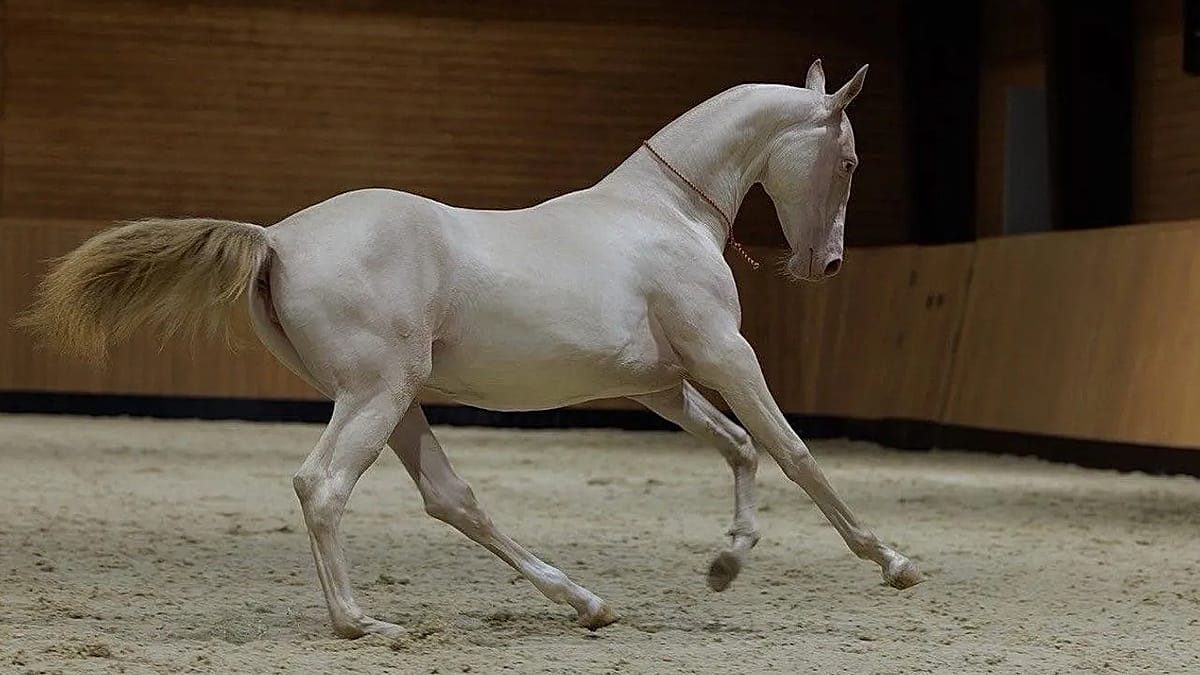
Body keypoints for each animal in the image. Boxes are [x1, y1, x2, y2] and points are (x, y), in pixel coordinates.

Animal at [19, 59, 922, 639]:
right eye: (848, 158)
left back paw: (583, 602)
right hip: (377, 394)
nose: (825, 264)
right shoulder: (724, 355)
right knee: (323, 485)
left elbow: (738, 447)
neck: (665, 214)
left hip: (397, 402)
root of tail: (277, 237)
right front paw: (892, 561)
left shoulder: (664, 385)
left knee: (451, 499)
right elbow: (793, 450)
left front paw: (727, 564)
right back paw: (363, 623)